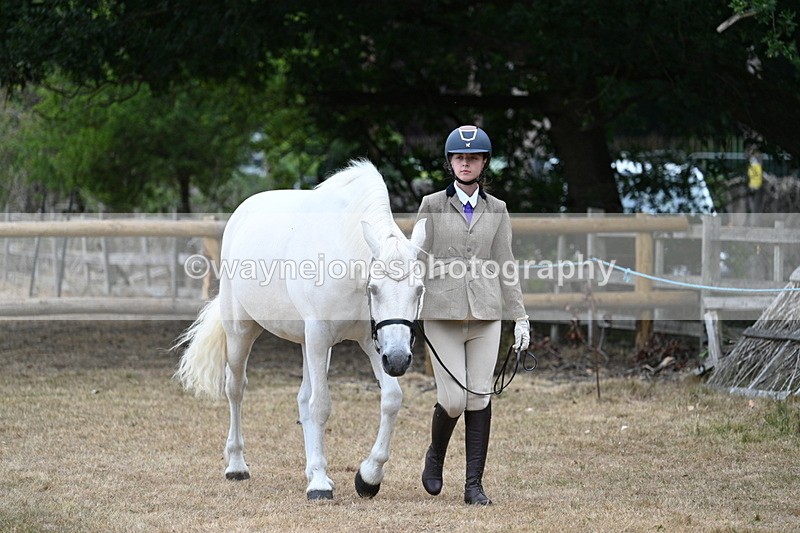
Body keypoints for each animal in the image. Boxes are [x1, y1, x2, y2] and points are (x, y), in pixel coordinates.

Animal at [175, 159, 426, 500]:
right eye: (373, 288)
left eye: (419, 290)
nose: (399, 360)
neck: (346, 252)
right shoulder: (321, 336)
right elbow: (320, 406)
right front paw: (319, 485)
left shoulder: (372, 340)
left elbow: (391, 399)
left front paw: (368, 477)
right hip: (242, 331)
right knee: (236, 389)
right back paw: (237, 466)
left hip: (309, 343)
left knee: (302, 398)